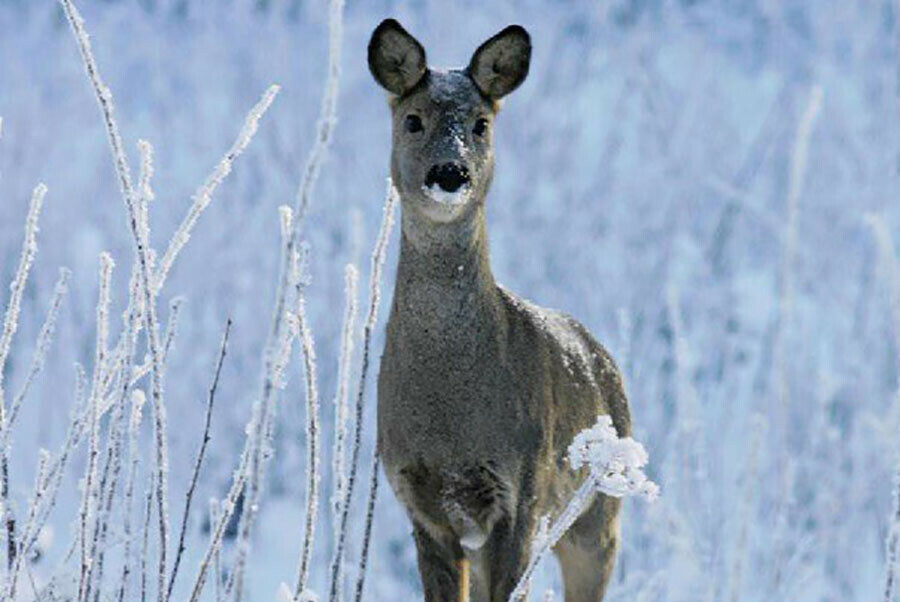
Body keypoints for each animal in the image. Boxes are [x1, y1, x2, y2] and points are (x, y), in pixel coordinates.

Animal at [370, 19, 628, 600]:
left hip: (598, 511)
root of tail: (602, 356)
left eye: (481, 124)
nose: (450, 172)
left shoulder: (521, 490)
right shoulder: (421, 501)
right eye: (413, 120)